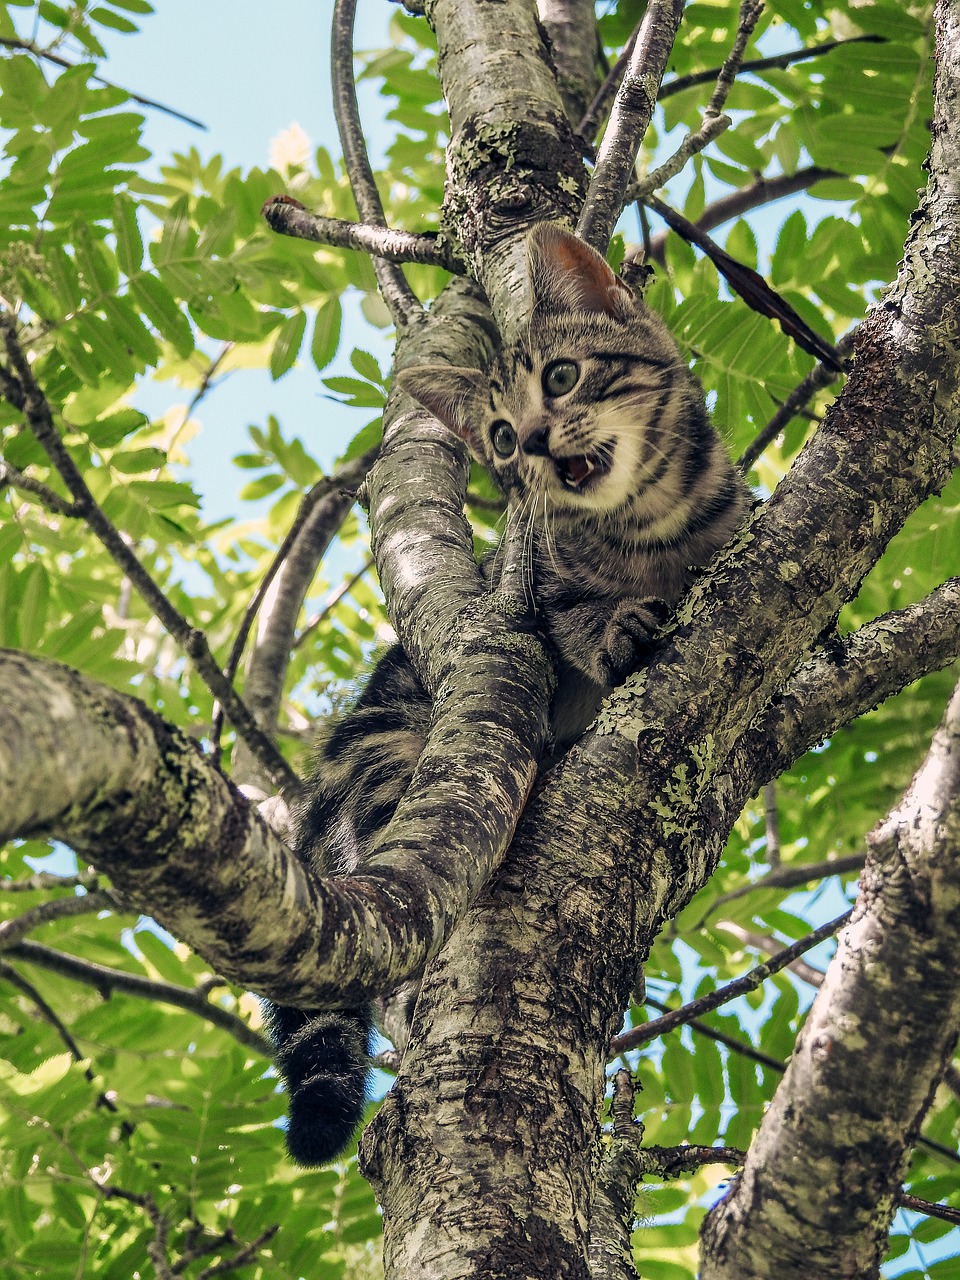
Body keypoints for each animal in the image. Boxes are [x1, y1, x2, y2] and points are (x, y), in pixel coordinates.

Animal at [264, 225, 752, 1167]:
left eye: (560, 377)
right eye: (495, 434)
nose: (528, 438)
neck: (650, 528)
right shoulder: (534, 585)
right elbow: (571, 614)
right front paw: (614, 626)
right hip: (392, 756)